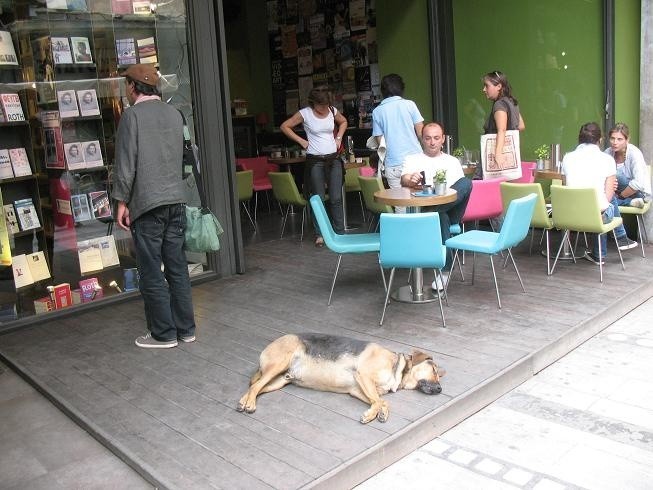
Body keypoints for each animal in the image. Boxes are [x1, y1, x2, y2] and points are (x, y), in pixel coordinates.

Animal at [234, 334, 444, 424]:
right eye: (434, 370)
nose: (440, 390)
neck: (398, 368)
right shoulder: (363, 376)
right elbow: (379, 401)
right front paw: (370, 415)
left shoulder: (358, 389)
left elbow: (381, 401)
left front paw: (381, 413)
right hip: (278, 365)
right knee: (255, 386)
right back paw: (250, 404)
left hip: (279, 380)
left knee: (255, 386)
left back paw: (243, 401)